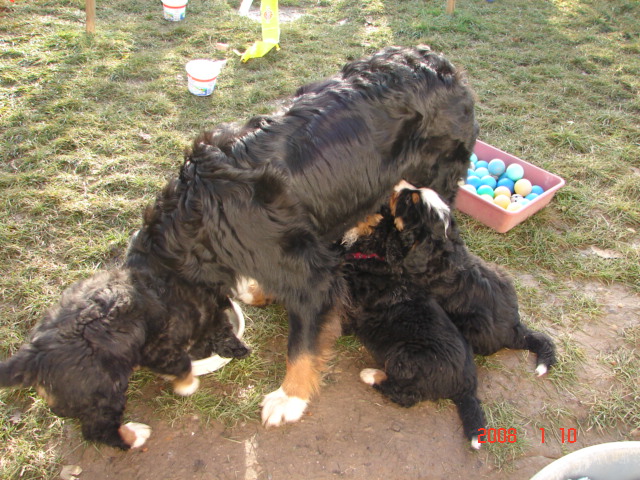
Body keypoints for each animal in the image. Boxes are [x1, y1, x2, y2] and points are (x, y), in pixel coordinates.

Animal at [0, 239, 251, 450]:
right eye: (226, 331)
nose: (241, 350)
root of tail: (34, 356)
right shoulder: (158, 347)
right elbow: (182, 365)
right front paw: (187, 385)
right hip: (105, 391)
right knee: (98, 431)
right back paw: (135, 435)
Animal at [159, 45, 478, 427]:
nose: (182, 377)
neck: (201, 220)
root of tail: (444, 66)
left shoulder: (309, 273)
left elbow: (301, 344)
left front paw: (290, 397)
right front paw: (261, 292)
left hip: (435, 177)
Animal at [341, 201, 486, 449]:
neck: (376, 255)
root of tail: (468, 385)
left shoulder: (352, 301)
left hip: (404, 356)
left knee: (406, 396)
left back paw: (371, 375)